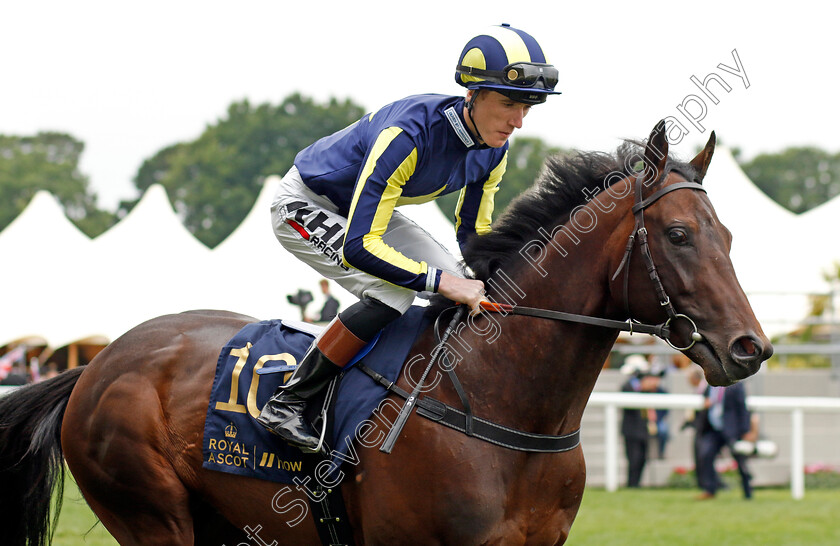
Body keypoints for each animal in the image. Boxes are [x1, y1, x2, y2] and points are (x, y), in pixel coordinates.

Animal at [0, 121, 772, 540]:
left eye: (731, 237)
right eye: (677, 235)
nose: (751, 348)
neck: (499, 405)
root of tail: (94, 365)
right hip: (150, 513)